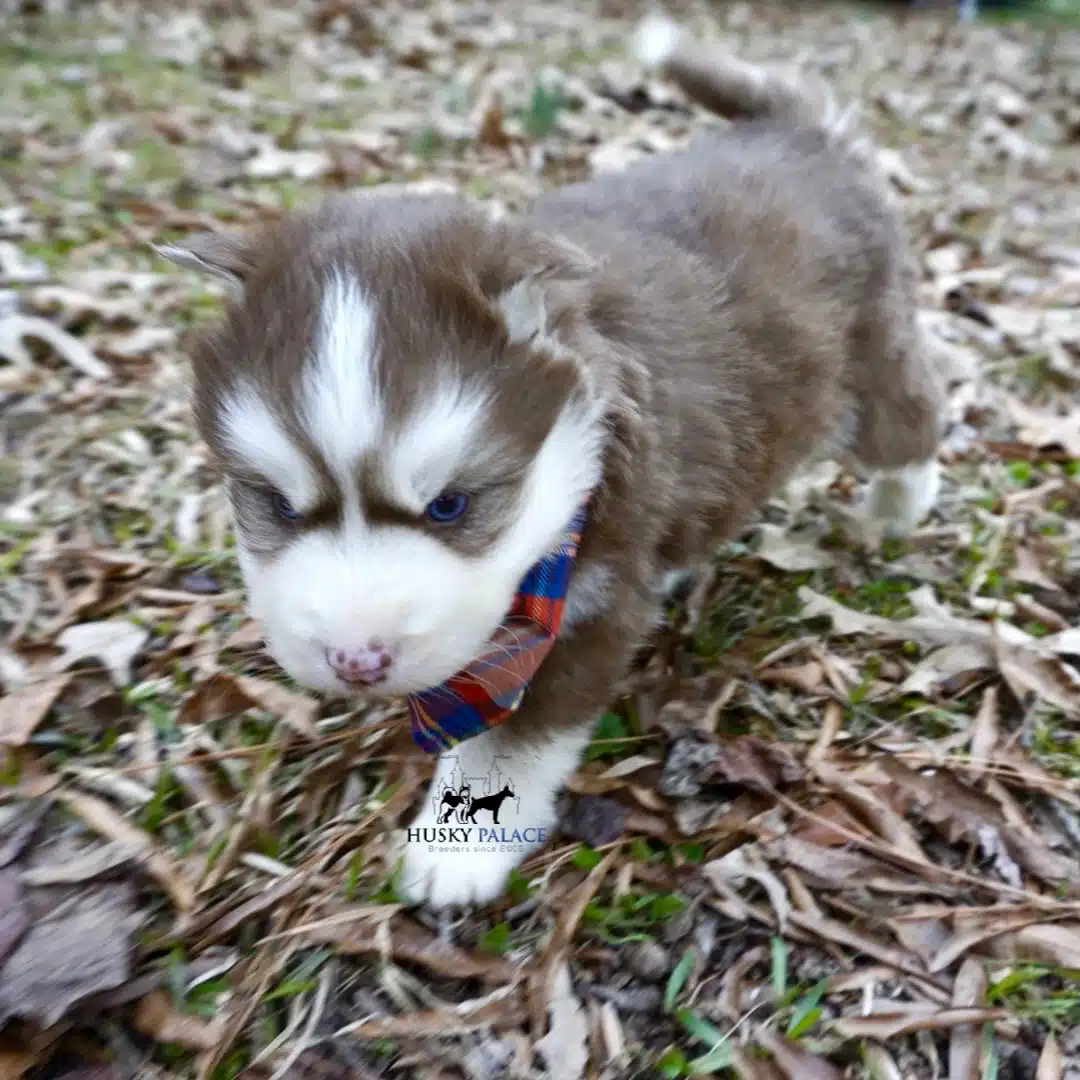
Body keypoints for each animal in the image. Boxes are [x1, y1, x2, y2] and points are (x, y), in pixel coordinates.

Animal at [162, 16, 946, 907]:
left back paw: (896, 509)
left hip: (870, 364)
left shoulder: (592, 610)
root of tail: (801, 131)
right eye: (280, 506)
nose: (357, 663)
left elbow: (515, 739)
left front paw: (460, 852)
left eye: (451, 506)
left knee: (912, 422)